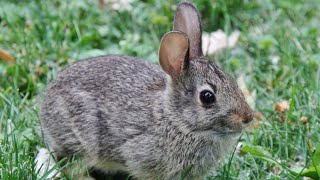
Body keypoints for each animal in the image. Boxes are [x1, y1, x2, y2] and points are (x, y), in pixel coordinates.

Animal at [40, 1, 254, 180]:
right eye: (207, 97)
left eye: (232, 81)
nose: (248, 117)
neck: (175, 119)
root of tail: (46, 104)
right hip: (81, 141)